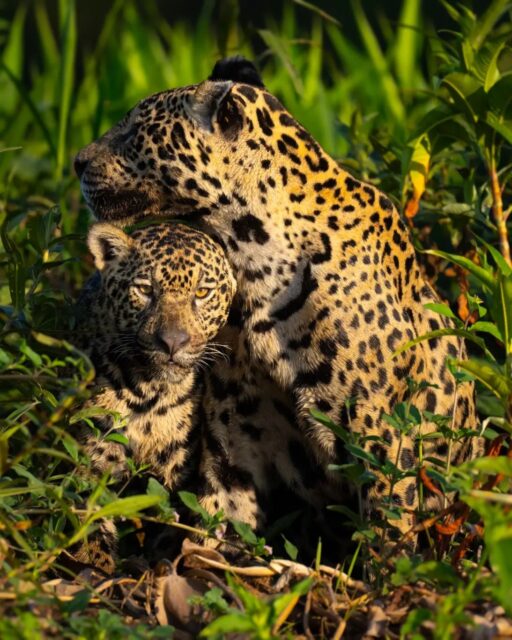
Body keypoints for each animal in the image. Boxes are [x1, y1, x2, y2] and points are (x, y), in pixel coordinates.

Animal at [74, 56, 482, 539]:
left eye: (134, 130)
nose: (77, 162)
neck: (254, 258)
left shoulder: (382, 433)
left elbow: (387, 524)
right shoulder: (234, 429)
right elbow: (227, 514)